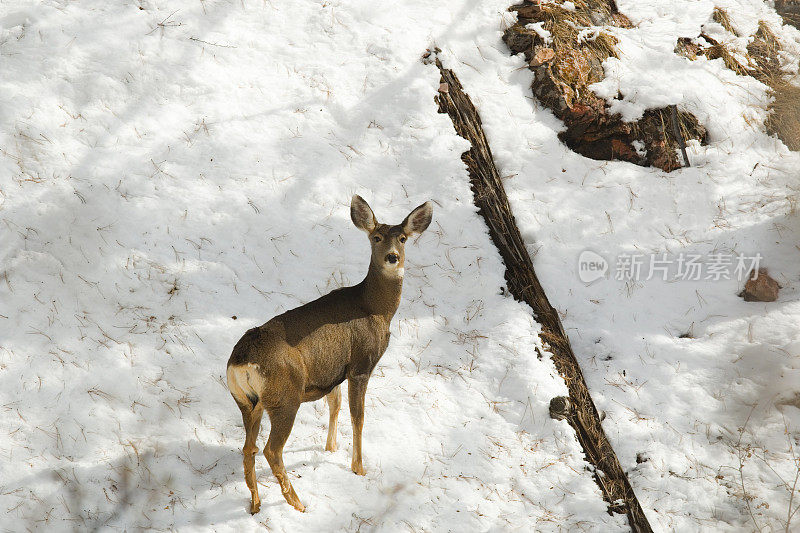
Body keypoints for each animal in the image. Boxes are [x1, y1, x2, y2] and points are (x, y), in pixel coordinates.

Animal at [228, 194, 434, 512]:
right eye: (376, 237)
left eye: (402, 238)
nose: (392, 257)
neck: (376, 309)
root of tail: (241, 362)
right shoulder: (361, 364)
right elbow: (358, 415)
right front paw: (358, 468)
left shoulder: (332, 371)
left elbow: (334, 405)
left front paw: (330, 448)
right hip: (285, 397)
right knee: (271, 449)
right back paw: (297, 503)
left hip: (247, 401)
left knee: (248, 447)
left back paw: (256, 504)